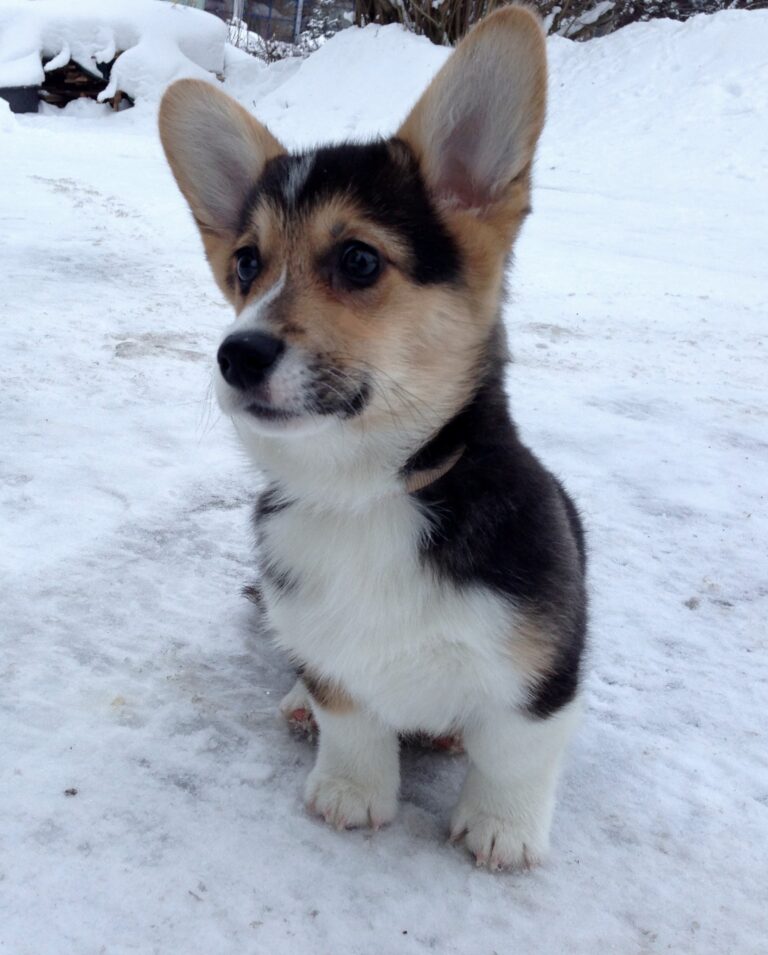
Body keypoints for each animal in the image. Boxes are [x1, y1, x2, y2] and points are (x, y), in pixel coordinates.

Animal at [159, 7, 584, 872]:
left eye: (358, 259)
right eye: (246, 264)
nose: (235, 354)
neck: (362, 494)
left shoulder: (544, 665)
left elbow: (515, 751)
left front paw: (502, 829)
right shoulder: (335, 663)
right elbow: (350, 714)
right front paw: (350, 793)